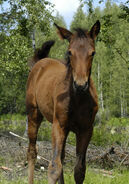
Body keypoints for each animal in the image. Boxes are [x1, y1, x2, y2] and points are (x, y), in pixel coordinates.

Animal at [26, 20, 100, 184]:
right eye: (70, 52)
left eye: (93, 53)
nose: (80, 85)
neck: (77, 100)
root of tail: (40, 62)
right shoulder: (58, 125)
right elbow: (54, 167)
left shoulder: (86, 129)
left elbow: (79, 170)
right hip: (33, 114)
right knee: (32, 152)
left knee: (62, 156)